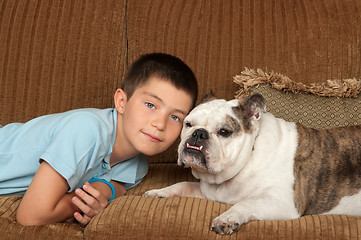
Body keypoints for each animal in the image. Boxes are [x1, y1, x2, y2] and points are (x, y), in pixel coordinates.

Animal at [142, 92, 358, 234]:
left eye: (224, 132)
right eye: (188, 124)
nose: (198, 134)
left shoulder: (282, 202)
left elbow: (246, 203)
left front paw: (227, 218)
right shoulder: (206, 191)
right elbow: (182, 184)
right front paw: (159, 192)